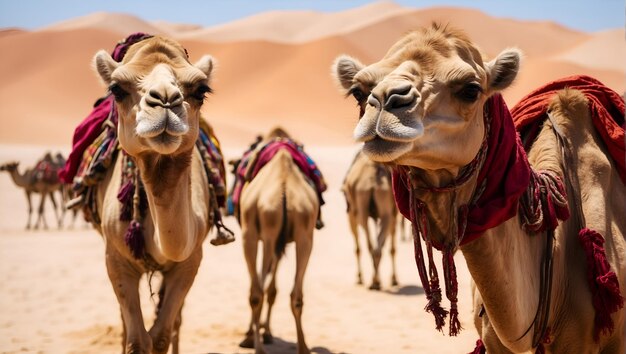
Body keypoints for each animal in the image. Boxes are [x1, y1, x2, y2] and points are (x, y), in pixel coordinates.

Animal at [90, 34, 217, 352]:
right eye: (116, 89)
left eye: (201, 90)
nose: (165, 101)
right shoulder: (116, 259)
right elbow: (136, 339)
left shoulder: (190, 261)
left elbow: (160, 336)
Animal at [238, 128, 320, 354]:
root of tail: (283, 189)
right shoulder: (281, 243)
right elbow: (272, 288)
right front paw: (265, 331)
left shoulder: (265, 237)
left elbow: (265, 284)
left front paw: (257, 333)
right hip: (303, 234)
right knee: (295, 295)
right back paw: (303, 347)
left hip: (256, 233)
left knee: (256, 291)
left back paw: (255, 345)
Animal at [338, 151, 398, 290]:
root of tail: (375, 177)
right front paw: (393, 280)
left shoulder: (351, 215)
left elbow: (357, 248)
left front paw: (359, 278)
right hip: (384, 210)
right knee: (377, 247)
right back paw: (376, 281)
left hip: (363, 209)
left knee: (370, 246)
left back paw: (373, 281)